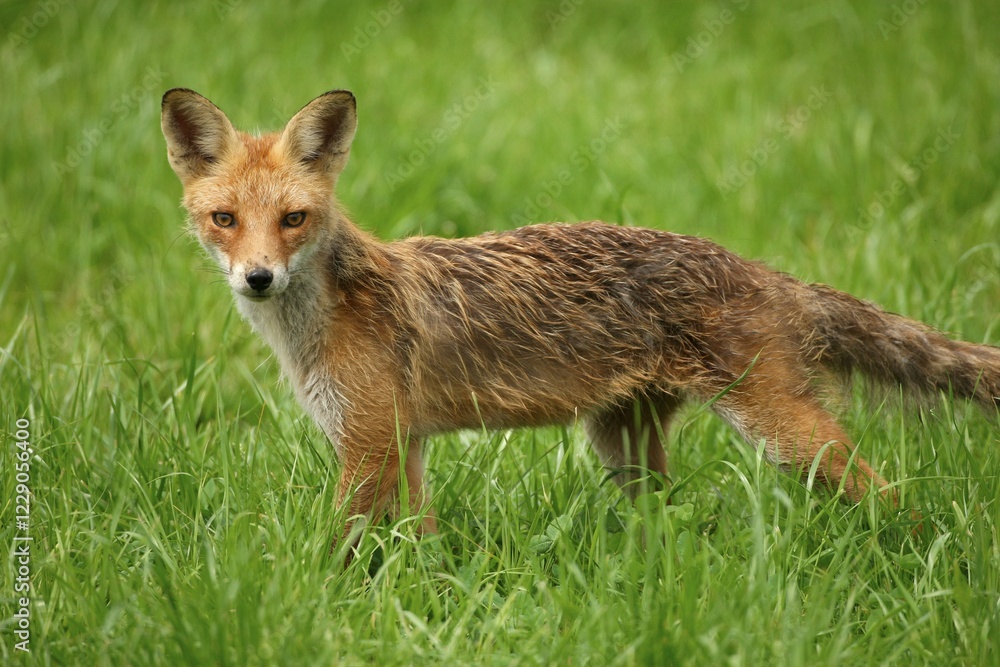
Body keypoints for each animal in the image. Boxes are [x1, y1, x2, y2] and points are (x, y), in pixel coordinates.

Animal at [161, 88, 1000, 558]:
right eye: (225, 219)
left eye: (294, 219)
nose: (258, 277)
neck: (316, 325)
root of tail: (763, 270)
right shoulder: (402, 445)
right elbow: (417, 548)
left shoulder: (368, 445)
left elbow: (333, 550)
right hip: (624, 445)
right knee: (671, 518)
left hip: (784, 434)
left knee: (893, 495)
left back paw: (929, 557)